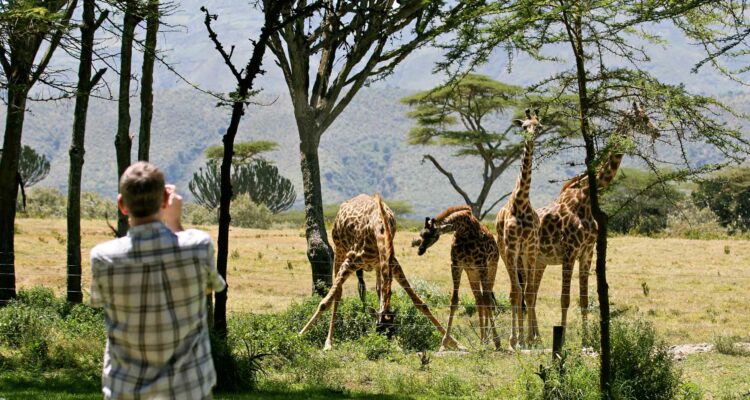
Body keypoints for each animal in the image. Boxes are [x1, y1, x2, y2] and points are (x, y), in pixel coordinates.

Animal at [298, 194, 462, 350]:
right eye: (378, 328)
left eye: (393, 330)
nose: (384, 345)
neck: (379, 228)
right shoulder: (351, 261)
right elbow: (324, 302)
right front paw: (301, 335)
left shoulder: (392, 262)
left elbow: (420, 303)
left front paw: (455, 343)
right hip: (339, 250)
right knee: (337, 293)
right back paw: (329, 341)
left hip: (377, 265)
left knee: (378, 289)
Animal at [414, 206, 502, 350]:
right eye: (421, 234)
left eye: (433, 235)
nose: (420, 250)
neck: (464, 231)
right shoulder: (456, 265)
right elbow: (454, 301)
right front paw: (444, 342)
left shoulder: (482, 265)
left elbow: (488, 301)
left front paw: (497, 342)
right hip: (472, 272)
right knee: (480, 299)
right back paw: (483, 339)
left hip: (491, 268)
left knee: (487, 298)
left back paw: (488, 339)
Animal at [528, 102, 656, 334]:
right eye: (642, 118)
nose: (657, 131)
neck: (585, 198)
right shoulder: (569, 252)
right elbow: (565, 299)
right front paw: (563, 335)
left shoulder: (586, 253)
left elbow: (584, 300)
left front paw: (587, 337)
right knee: (526, 295)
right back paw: (530, 338)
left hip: (541, 261)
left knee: (531, 296)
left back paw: (535, 338)